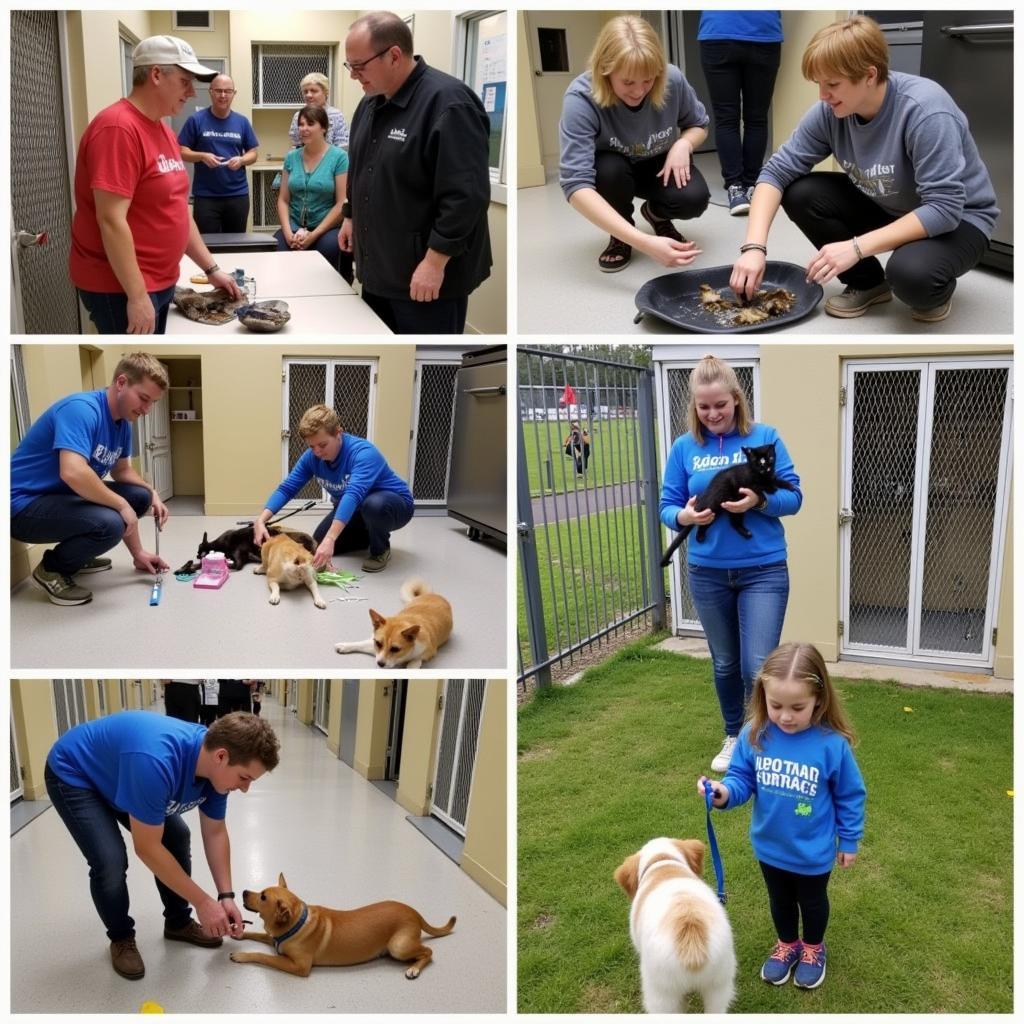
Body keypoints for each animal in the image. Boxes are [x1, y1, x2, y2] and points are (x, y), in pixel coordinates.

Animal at [232, 872, 460, 974]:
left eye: (263, 897)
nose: (243, 892)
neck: (296, 924)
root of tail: (413, 911)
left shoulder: (300, 966)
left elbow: (263, 957)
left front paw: (243, 955)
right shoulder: (274, 938)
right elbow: (258, 934)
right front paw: (239, 933)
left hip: (399, 946)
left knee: (428, 952)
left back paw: (414, 969)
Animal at [659, 440, 794, 569]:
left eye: (770, 458)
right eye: (757, 462)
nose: (765, 468)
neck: (760, 474)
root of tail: (704, 496)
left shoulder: (769, 476)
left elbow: (775, 479)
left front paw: (789, 485)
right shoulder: (747, 484)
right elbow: (760, 485)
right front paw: (771, 488)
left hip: (731, 510)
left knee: (732, 523)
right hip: (714, 507)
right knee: (708, 524)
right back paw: (702, 537)